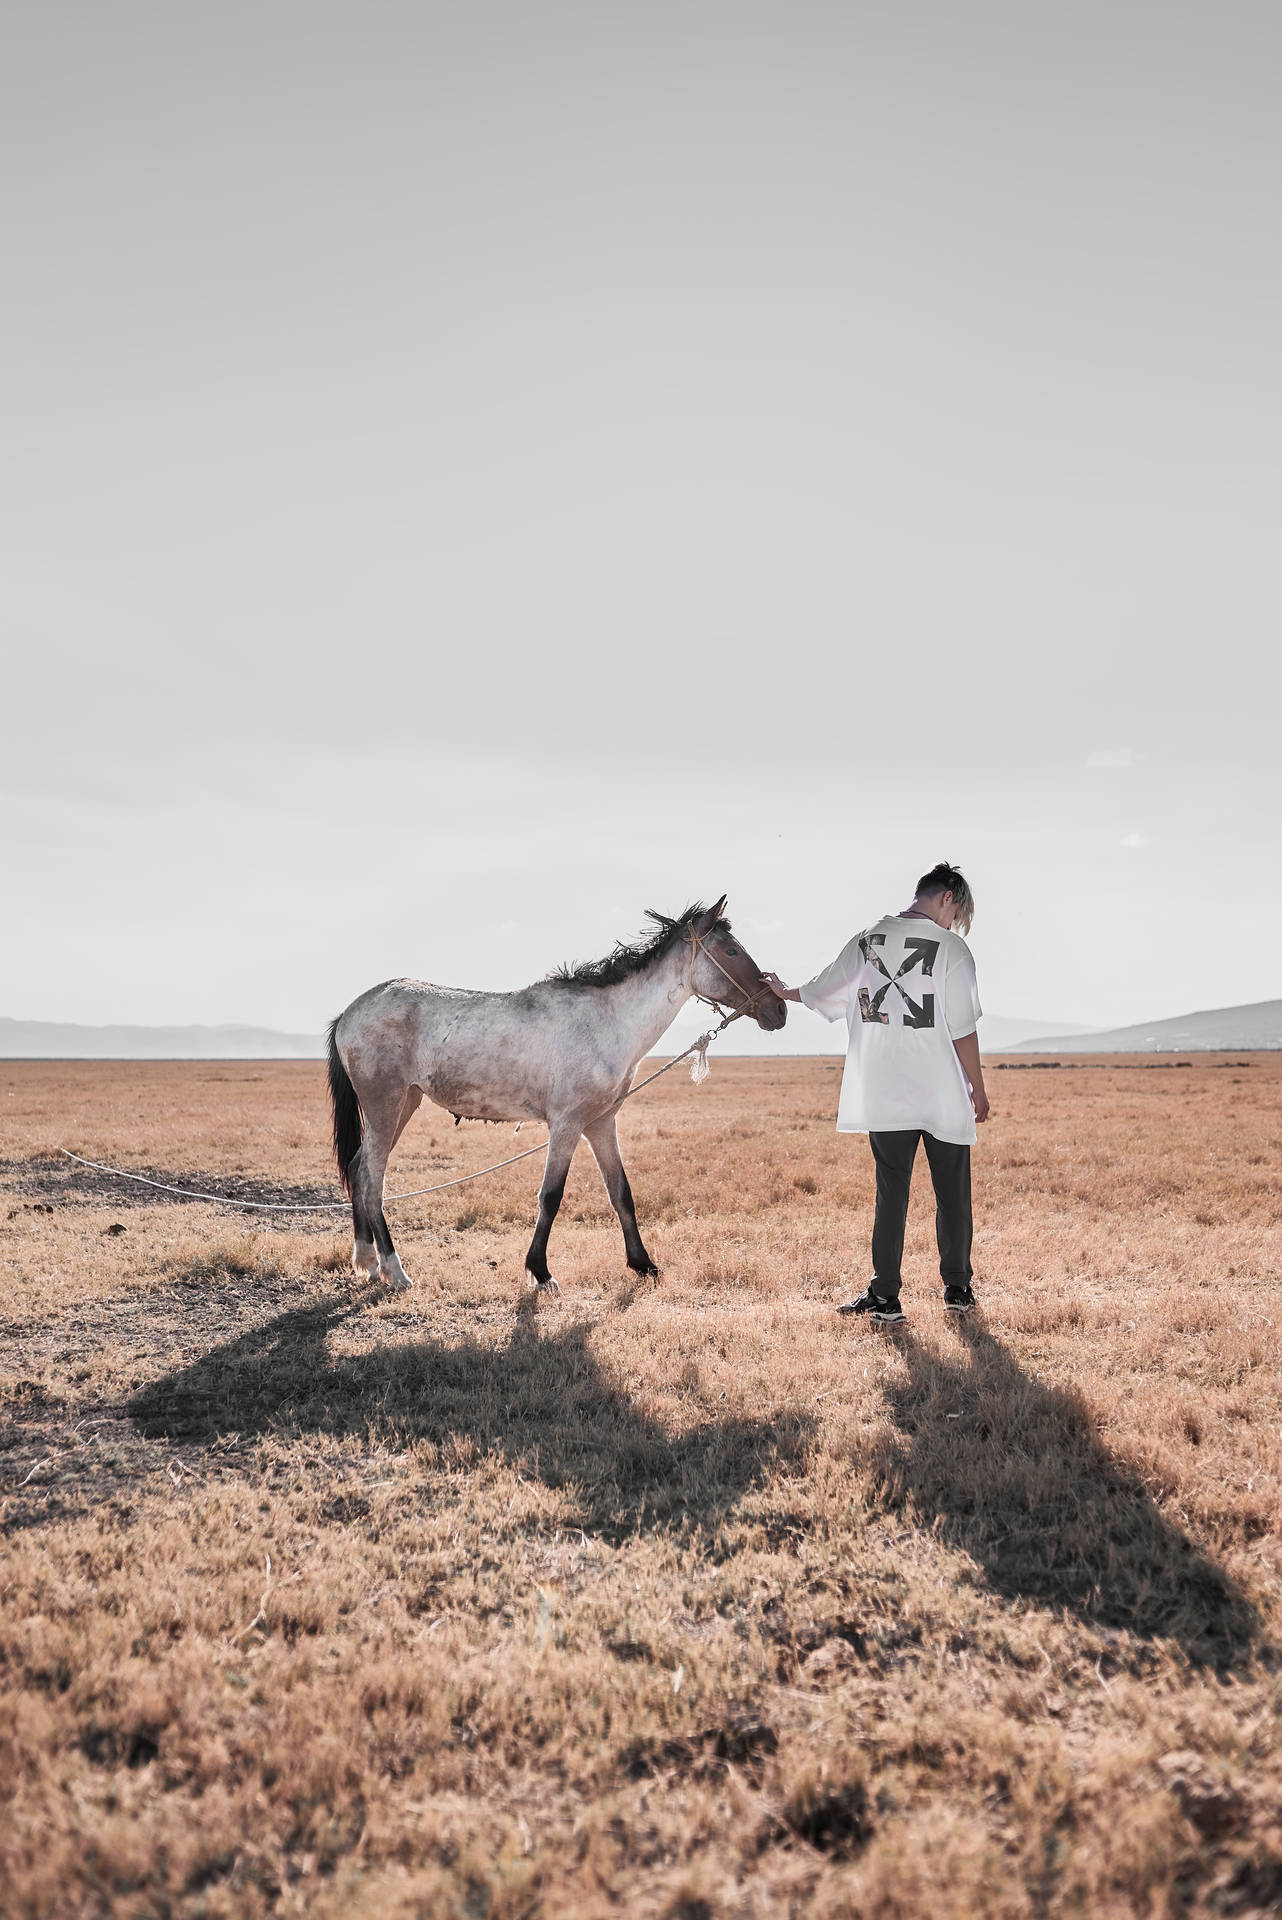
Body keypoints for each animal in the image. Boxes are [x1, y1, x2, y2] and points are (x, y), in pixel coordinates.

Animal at [326, 894, 786, 1290]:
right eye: (731, 951)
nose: (778, 1008)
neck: (606, 1021)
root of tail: (349, 1012)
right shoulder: (566, 1125)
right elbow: (551, 1196)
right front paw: (541, 1273)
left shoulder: (601, 1124)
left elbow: (621, 1193)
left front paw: (643, 1264)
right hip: (385, 1104)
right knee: (372, 1177)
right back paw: (393, 1269)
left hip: (406, 1102)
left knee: (359, 1167)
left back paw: (366, 1261)